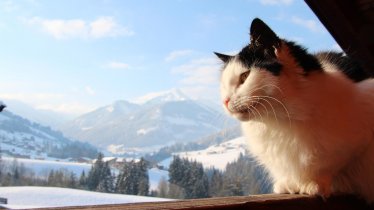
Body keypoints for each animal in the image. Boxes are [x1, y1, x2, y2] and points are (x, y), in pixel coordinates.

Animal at [215, 18, 374, 202]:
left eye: (244, 77)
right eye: (223, 86)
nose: (225, 101)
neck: (280, 121)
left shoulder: (357, 142)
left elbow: (327, 167)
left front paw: (314, 184)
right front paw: (289, 184)